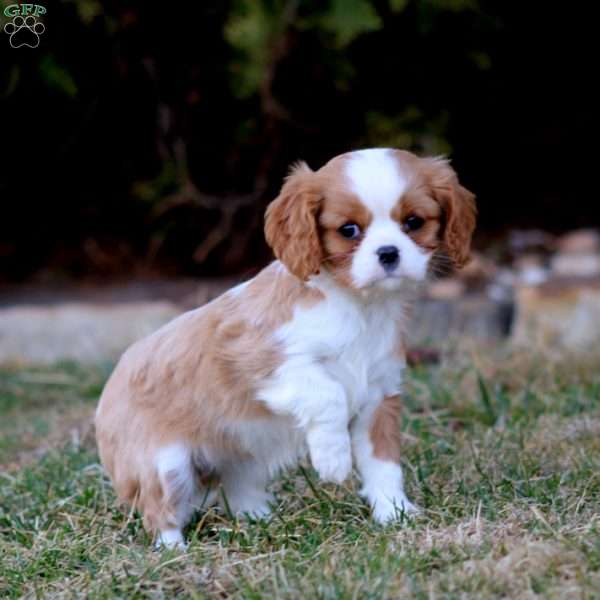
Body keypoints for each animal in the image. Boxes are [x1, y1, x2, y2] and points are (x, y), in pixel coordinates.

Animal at [96, 148, 476, 548]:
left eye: (413, 222)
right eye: (349, 230)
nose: (388, 253)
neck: (359, 306)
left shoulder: (378, 397)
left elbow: (383, 464)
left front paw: (394, 513)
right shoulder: (261, 361)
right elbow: (328, 393)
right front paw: (333, 459)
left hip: (242, 455)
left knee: (237, 489)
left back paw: (259, 520)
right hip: (164, 463)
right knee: (160, 511)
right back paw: (176, 550)